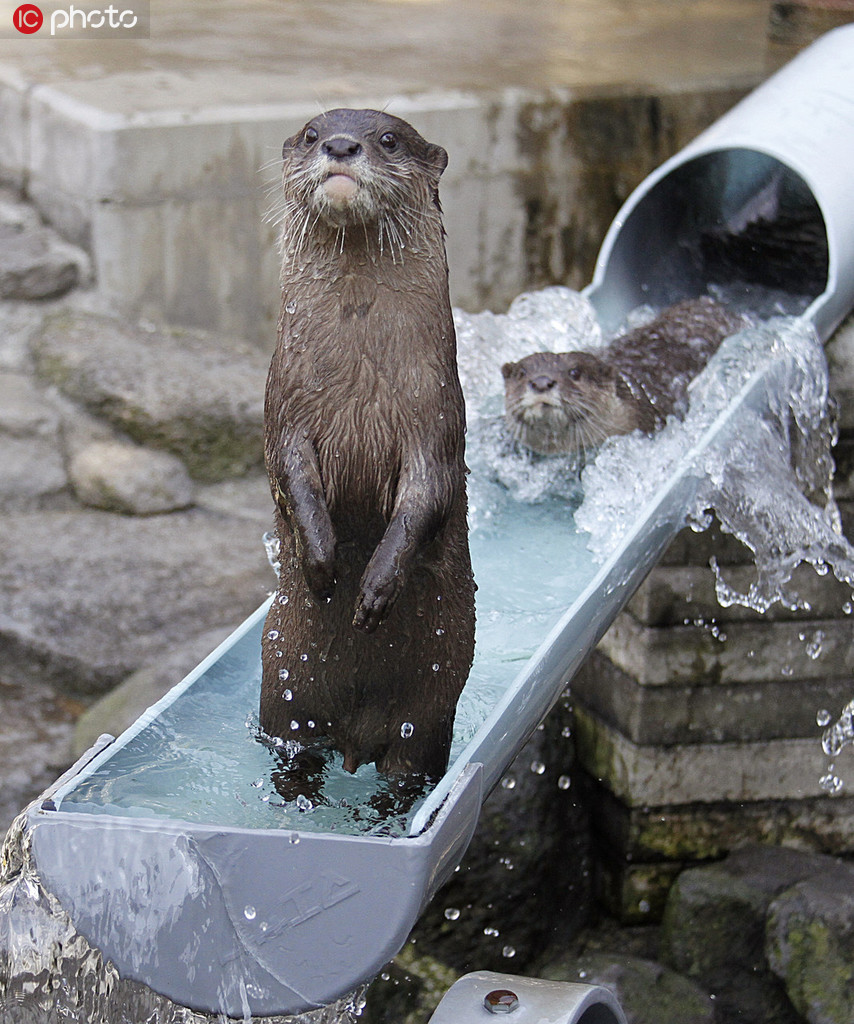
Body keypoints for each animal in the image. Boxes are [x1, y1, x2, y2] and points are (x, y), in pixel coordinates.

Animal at [260, 108, 473, 778]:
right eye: (309, 133)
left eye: (388, 139)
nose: (340, 144)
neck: (357, 381)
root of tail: (356, 736)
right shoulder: (284, 407)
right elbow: (291, 475)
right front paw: (323, 563)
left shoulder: (436, 418)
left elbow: (426, 497)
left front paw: (374, 590)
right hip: (285, 692)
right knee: (292, 750)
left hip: (429, 714)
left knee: (409, 768)